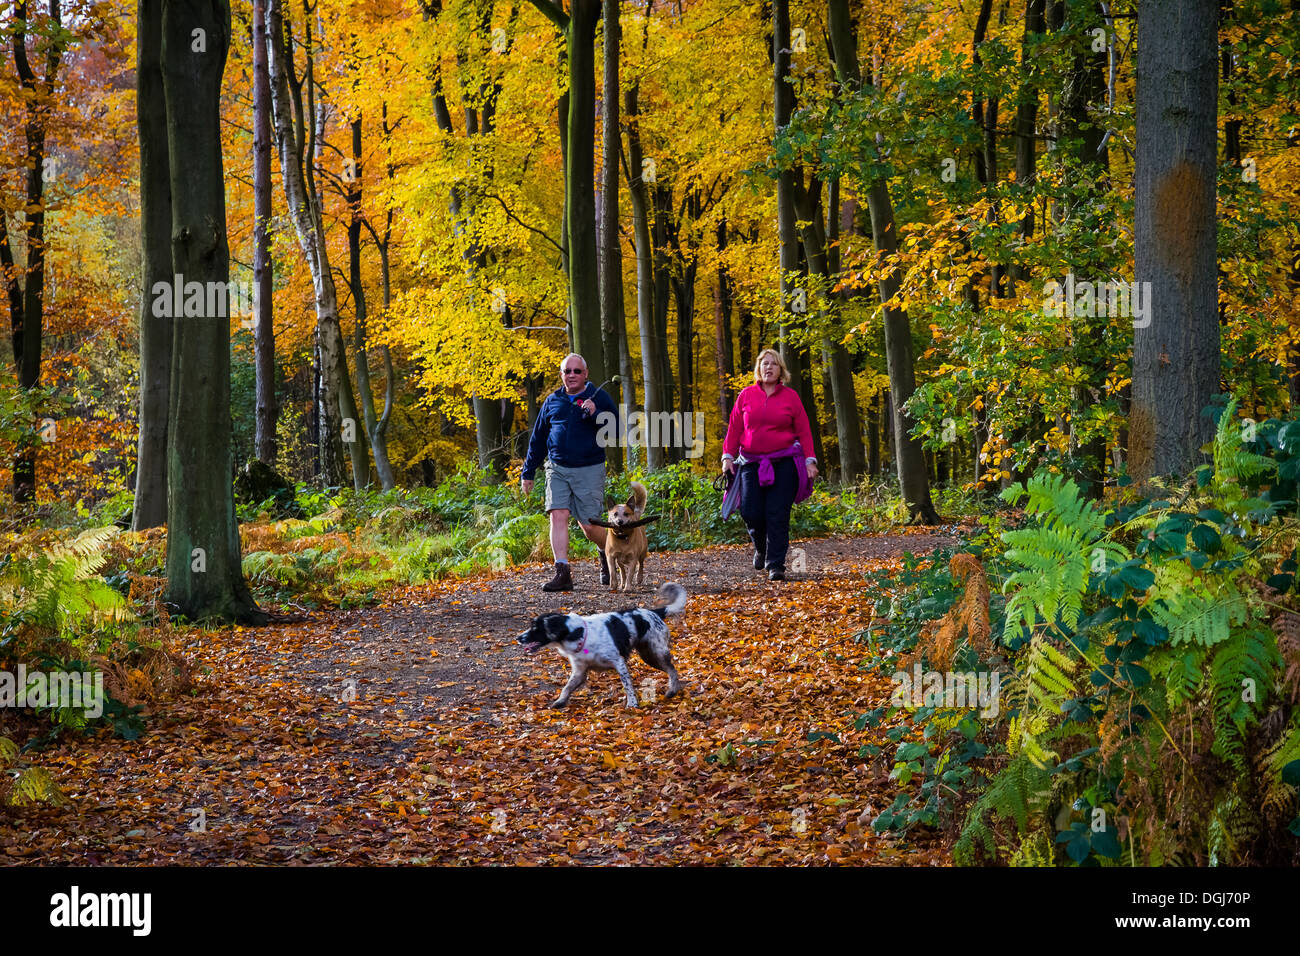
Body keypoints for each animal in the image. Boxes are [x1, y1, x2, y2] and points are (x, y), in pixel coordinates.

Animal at [514, 580, 691, 707]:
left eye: (535, 628)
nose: (518, 638)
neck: (579, 633)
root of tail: (655, 612)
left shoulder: (619, 662)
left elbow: (627, 686)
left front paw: (632, 704)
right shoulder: (580, 671)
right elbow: (567, 687)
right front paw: (560, 701)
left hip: (656, 653)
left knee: (672, 669)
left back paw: (672, 690)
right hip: (648, 655)